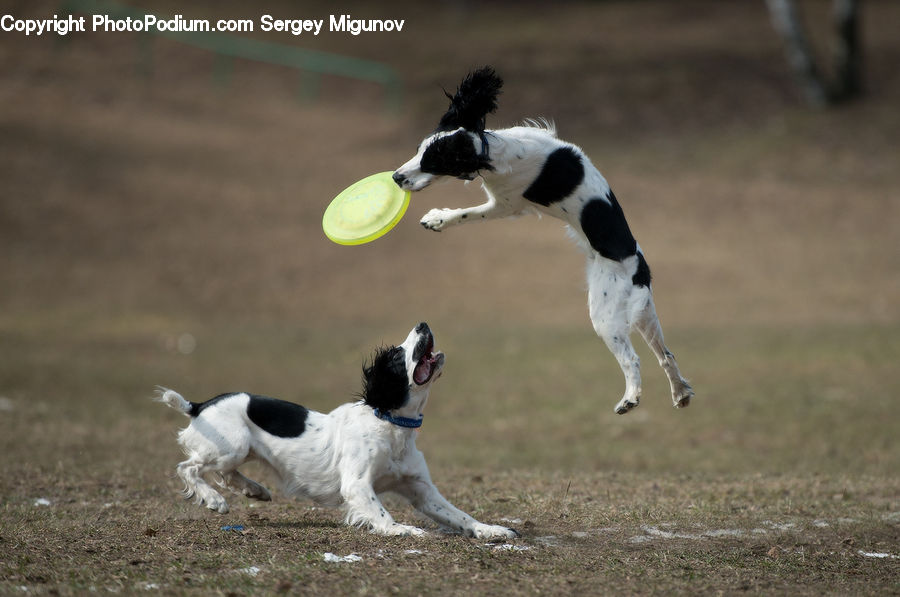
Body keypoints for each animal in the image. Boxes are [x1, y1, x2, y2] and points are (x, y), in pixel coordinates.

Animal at [158, 324, 516, 536]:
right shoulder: (357, 485)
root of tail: (200, 405)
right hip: (232, 446)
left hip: (238, 451)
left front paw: (492, 530)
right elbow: (382, 514)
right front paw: (404, 530)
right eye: (397, 355)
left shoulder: (422, 491)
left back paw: (254, 490)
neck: (390, 424)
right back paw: (214, 500)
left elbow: (460, 515)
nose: (422, 324)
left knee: (225, 473)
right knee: (188, 468)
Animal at [390, 66, 692, 414]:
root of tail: (638, 265)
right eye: (418, 150)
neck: (494, 150)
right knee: (666, 355)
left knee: (633, 359)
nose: (396, 177)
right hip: (645, 315)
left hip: (605, 314)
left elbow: (466, 213)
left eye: (435, 161)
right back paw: (680, 393)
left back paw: (630, 398)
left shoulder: (505, 205)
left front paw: (437, 218)